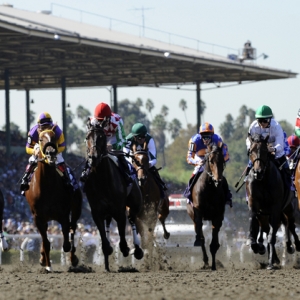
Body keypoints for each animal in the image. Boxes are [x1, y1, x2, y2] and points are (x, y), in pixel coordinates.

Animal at [24, 126, 82, 272]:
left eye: (54, 137)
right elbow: (45, 242)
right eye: (40, 139)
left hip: (76, 209)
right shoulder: (38, 217)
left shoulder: (64, 215)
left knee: (73, 229)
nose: (50, 153)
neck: (48, 186)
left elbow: (66, 242)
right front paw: (47, 264)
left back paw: (73, 259)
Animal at [83, 119, 144, 272]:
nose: (93, 158)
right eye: (87, 137)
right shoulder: (96, 212)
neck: (102, 179)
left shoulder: (119, 210)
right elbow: (104, 238)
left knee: (132, 220)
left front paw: (126, 249)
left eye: (101, 137)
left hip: (134, 205)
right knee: (108, 225)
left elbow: (122, 237)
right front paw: (107, 251)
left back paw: (137, 249)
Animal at [186, 142, 226, 270]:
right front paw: (208, 262)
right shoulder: (198, 213)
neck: (209, 188)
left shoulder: (218, 216)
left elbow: (214, 243)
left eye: (222, 160)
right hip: (193, 218)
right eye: (211, 161)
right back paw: (205, 261)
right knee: (201, 236)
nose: (218, 181)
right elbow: (202, 238)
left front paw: (214, 265)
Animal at [245, 134, 290, 270]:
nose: (257, 172)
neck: (263, 180)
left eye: (265, 151)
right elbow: (253, 221)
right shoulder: (254, 204)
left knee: (282, 227)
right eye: (251, 151)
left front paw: (270, 262)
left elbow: (272, 236)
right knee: (265, 228)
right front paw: (255, 244)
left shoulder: (275, 208)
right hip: (264, 214)